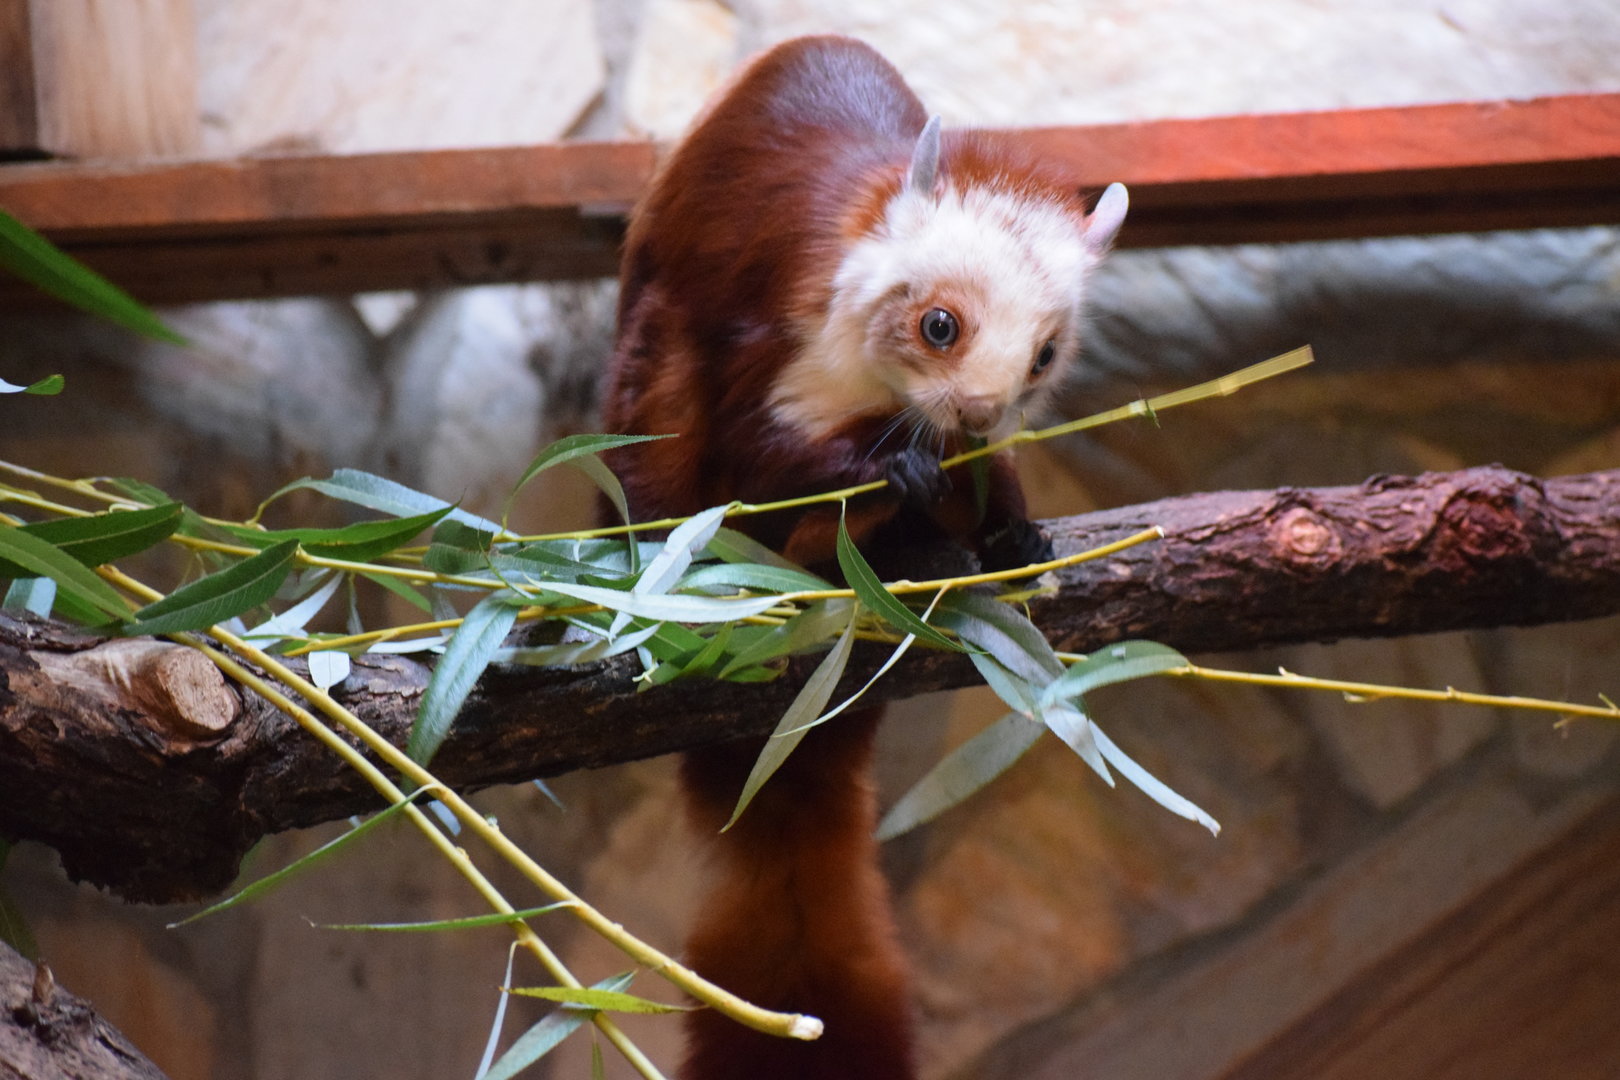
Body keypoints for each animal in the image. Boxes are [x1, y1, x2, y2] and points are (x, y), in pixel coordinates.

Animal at [601, 34, 1127, 1079]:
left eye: (1046, 355)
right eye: (940, 324)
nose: (978, 406)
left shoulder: (980, 444)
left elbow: (991, 479)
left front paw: (1012, 532)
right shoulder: (771, 351)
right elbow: (767, 461)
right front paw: (895, 476)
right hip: (655, 386)